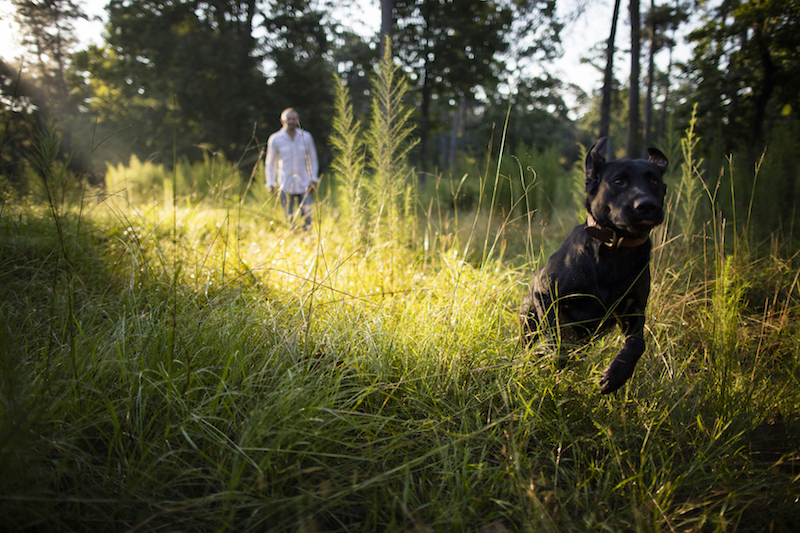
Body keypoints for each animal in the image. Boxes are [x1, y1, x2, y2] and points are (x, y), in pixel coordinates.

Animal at [520, 139, 668, 392]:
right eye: (618, 181)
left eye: (654, 182)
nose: (646, 205)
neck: (615, 250)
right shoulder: (545, 294)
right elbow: (555, 338)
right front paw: (552, 357)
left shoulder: (634, 309)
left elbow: (637, 343)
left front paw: (615, 376)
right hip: (529, 318)